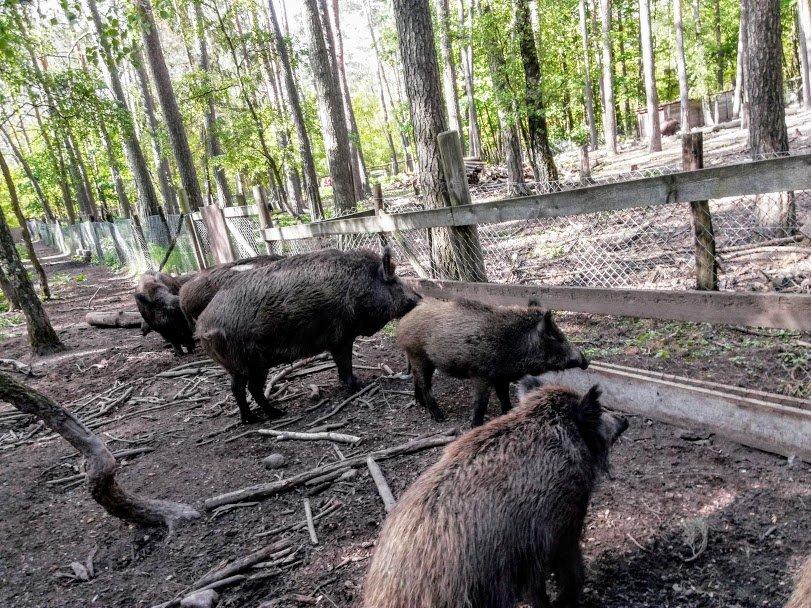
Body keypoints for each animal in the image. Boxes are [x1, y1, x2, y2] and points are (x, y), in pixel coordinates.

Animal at [195, 247, 421, 424]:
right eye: (395, 281)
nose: (418, 298)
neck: (361, 287)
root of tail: (202, 326)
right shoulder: (341, 337)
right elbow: (345, 364)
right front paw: (359, 385)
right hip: (246, 363)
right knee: (244, 389)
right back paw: (266, 416)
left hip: (249, 366)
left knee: (246, 389)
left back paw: (266, 416)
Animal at [396, 298, 589, 426]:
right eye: (557, 337)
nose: (585, 360)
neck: (513, 343)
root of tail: (404, 321)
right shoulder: (481, 374)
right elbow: (481, 402)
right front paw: (475, 425)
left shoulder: (501, 376)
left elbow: (504, 396)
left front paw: (508, 412)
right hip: (419, 356)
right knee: (425, 385)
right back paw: (440, 417)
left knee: (417, 381)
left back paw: (420, 404)